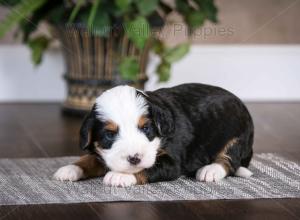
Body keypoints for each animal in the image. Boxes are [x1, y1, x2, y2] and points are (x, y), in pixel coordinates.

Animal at [53, 83, 253, 186]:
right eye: (110, 134)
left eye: (146, 128)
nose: (134, 158)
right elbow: (89, 159)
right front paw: (70, 168)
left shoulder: (172, 162)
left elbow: (147, 168)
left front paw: (120, 176)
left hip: (237, 136)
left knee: (229, 161)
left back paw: (210, 170)